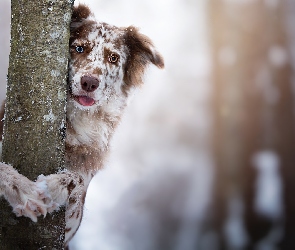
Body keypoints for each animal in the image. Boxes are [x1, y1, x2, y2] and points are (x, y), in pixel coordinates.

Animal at [0, 3, 164, 246]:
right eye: (79, 48)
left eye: (113, 58)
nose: (89, 82)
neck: (78, 122)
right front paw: (23, 190)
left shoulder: (71, 223)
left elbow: (76, 178)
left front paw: (55, 186)